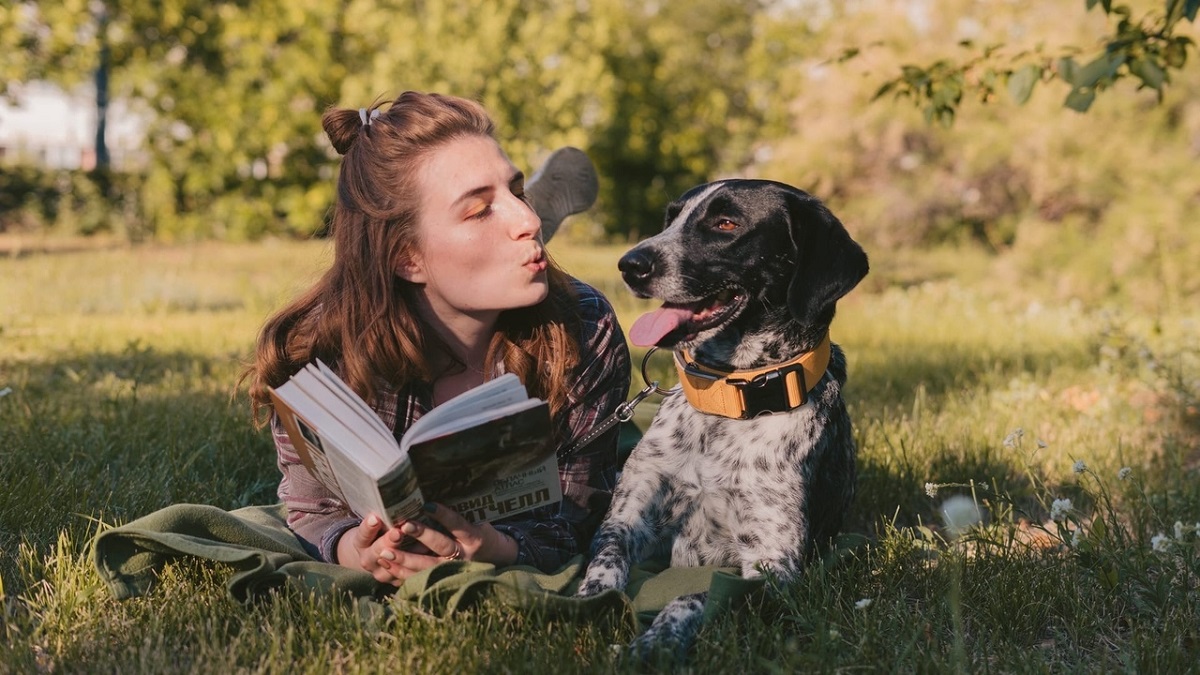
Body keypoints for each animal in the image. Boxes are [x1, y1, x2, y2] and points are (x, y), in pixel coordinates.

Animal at [576, 177, 868, 653]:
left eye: (726, 223)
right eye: (671, 217)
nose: (629, 264)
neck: (725, 403)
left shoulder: (771, 568)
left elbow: (696, 594)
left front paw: (657, 639)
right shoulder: (628, 519)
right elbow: (605, 564)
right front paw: (591, 601)